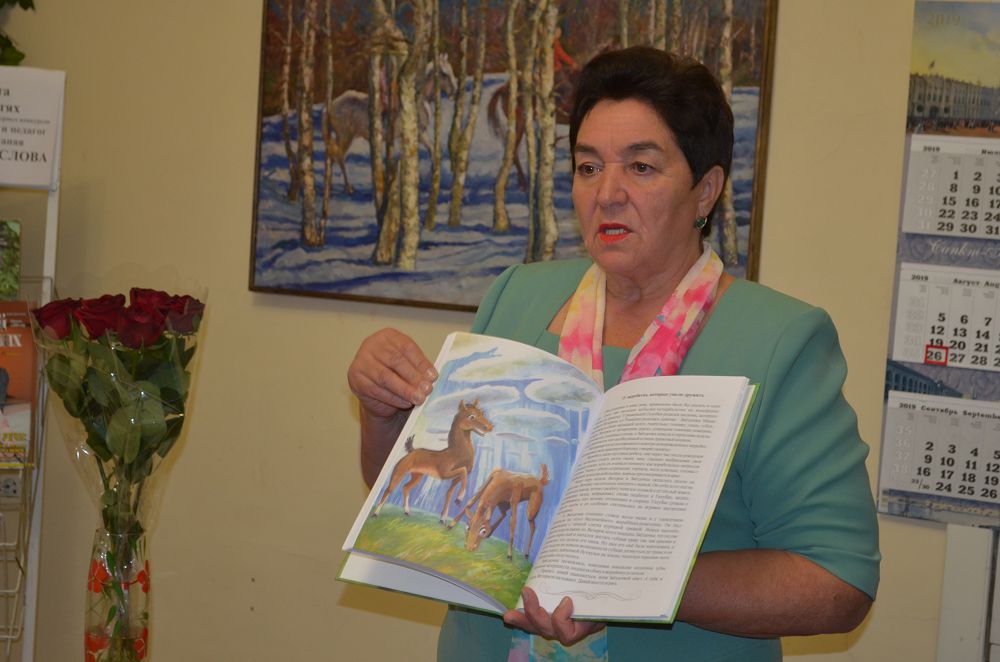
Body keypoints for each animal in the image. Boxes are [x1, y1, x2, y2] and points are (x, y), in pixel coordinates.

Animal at [326, 53, 457, 195]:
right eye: (444, 73)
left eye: (451, 69)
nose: (454, 91)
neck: (417, 101)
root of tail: (332, 104)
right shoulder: (414, 135)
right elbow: (416, 155)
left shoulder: (418, 134)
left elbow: (430, 151)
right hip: (346, 136)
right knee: (339, 156)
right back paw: (348, 188)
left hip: (341, 137)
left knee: (332, 155)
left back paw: (330, 186)